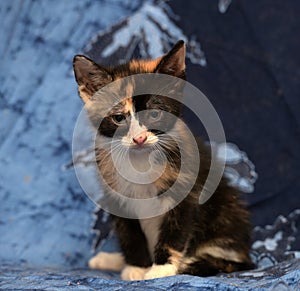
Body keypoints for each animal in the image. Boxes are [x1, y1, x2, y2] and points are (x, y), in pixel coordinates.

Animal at [72, 40, 253, 280]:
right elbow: (129, 234)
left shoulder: (187, 190)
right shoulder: (115, 195)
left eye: (155, 114)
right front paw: (136, 268)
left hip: (226, 215)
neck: (140, 162)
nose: (139, 138)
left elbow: (175, 230)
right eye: (119, 118)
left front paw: (161, 269)